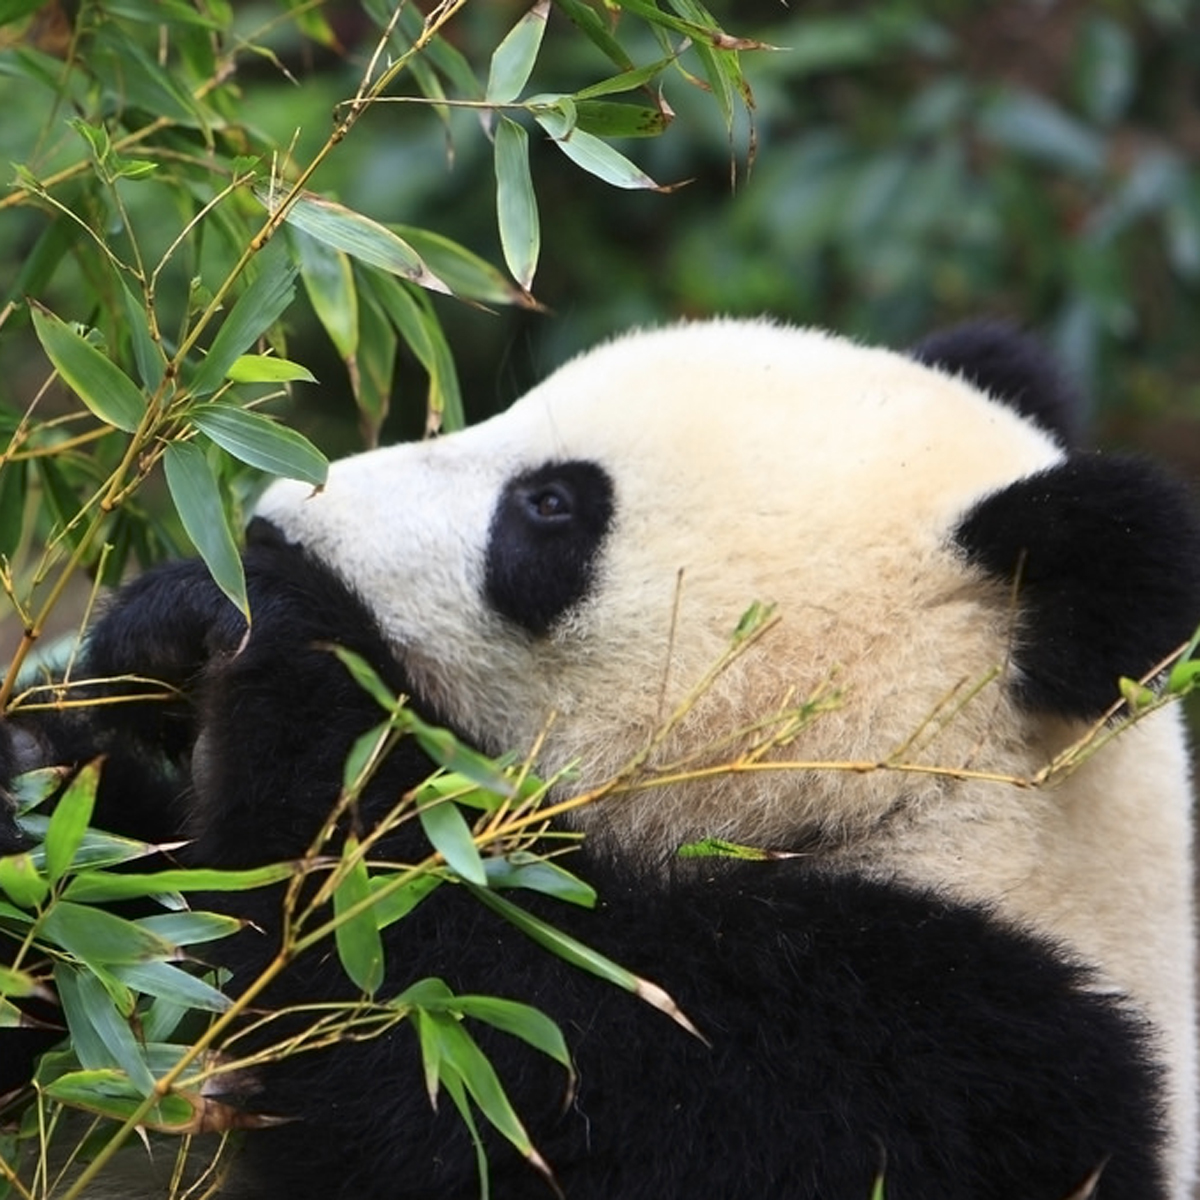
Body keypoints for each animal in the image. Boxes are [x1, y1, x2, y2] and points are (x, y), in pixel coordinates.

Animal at [1, 319, 1198, 1200]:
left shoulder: (959, 1065)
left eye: (550, 506)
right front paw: (92, 714)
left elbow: (473, 1047)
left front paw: (276, 628)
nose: (271, 518)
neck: (941, 806)